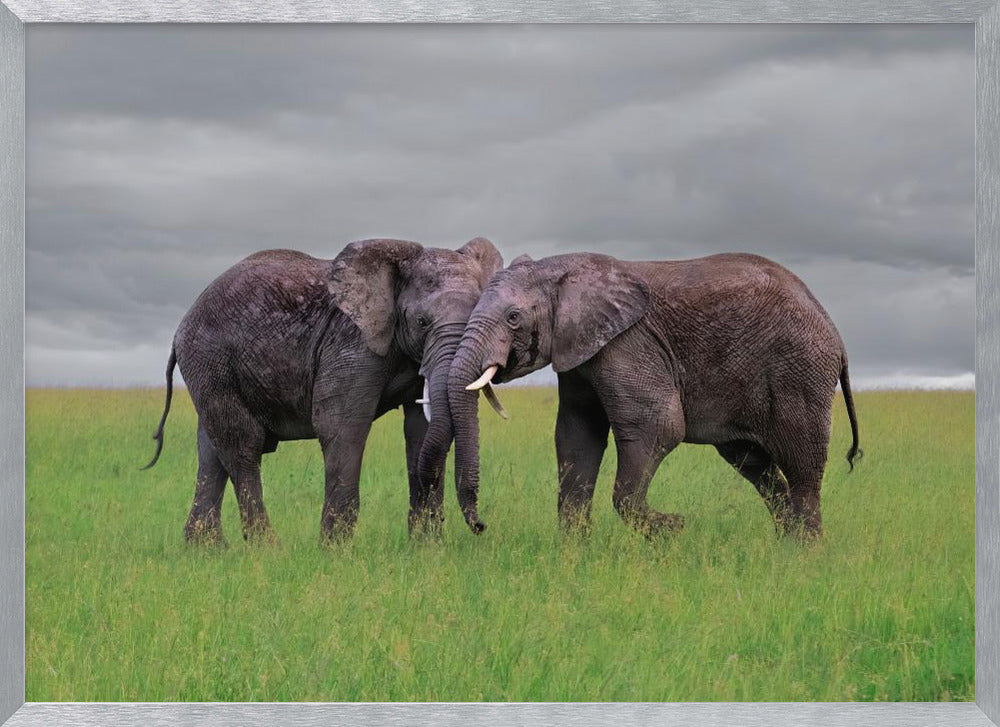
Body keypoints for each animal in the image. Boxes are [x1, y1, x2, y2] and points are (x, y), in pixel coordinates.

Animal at [143, 237, 504, 544]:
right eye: (422, 323)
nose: (480, 525)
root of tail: (182, 326)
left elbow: (420, 431)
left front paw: (426, 549)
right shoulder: (351, 343)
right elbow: (342, 427)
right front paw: (336, 551)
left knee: (210, 450)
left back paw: (208, 550)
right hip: (211, 359)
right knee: (241, 444)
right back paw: (267, 550)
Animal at [447, 252, 861, 539]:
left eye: (514, 318)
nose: (481, 526)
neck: (565, 269)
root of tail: (834, 329)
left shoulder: (628, 343)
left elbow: (658, 426)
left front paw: (673, 528)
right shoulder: (581, 354)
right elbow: (576, 437)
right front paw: (574, 554)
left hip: (799, 371)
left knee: (801, 466)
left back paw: (805, 554)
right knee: (756, 467)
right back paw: (785, 545)